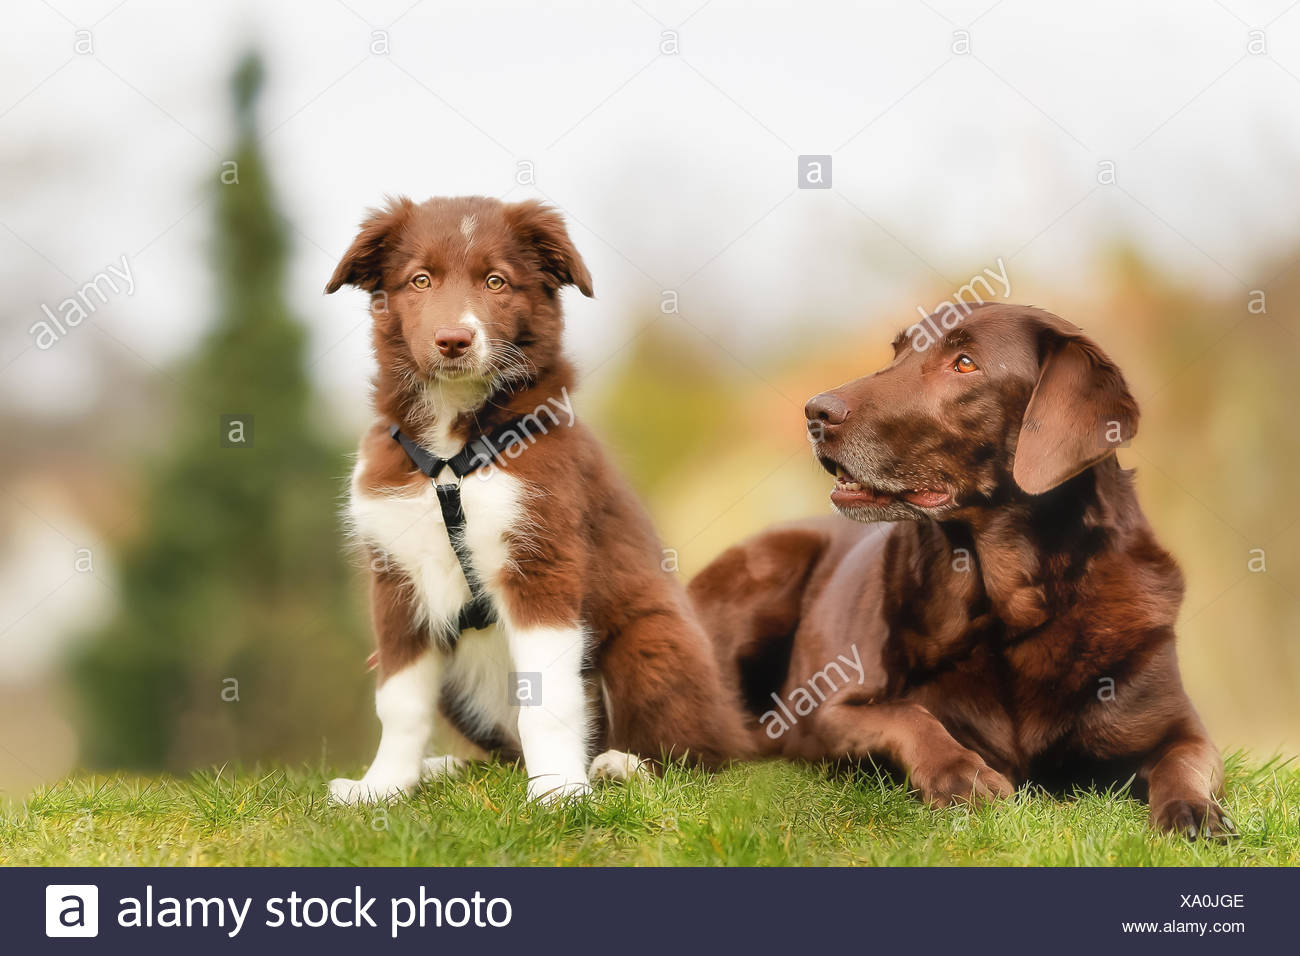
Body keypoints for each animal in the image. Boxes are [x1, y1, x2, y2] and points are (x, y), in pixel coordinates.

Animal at [325, 197, 748, 806]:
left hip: (654, 640)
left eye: (496, 281)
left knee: (702, 757)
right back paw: (445, 769)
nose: (453, 340)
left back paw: (621, 766)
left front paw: (558, 794)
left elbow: (547, 702)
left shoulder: (541, 561)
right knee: (501, 751)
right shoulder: (397, 579)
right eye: (420, 280)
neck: (452, 448)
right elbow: (400, 700)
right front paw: (382, 787)